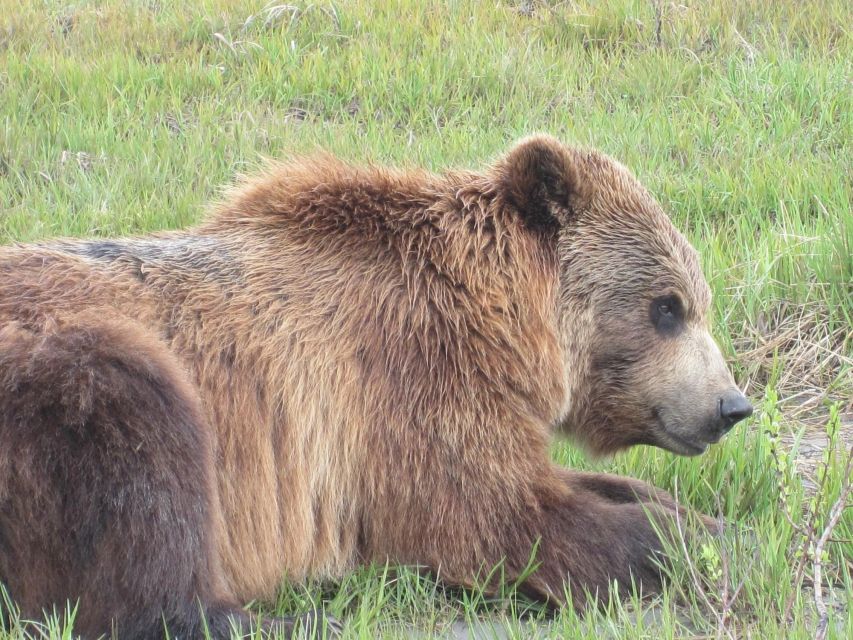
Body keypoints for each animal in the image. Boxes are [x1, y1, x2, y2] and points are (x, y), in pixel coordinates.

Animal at [0, 135, 748, 636]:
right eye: (667, 307)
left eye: (696, 300)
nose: (730, 405)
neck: (501, 325)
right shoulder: (405, 383)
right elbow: (499, 520)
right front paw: (693, 544)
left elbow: (562, 484)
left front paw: (709, 521)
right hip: (65, 377)